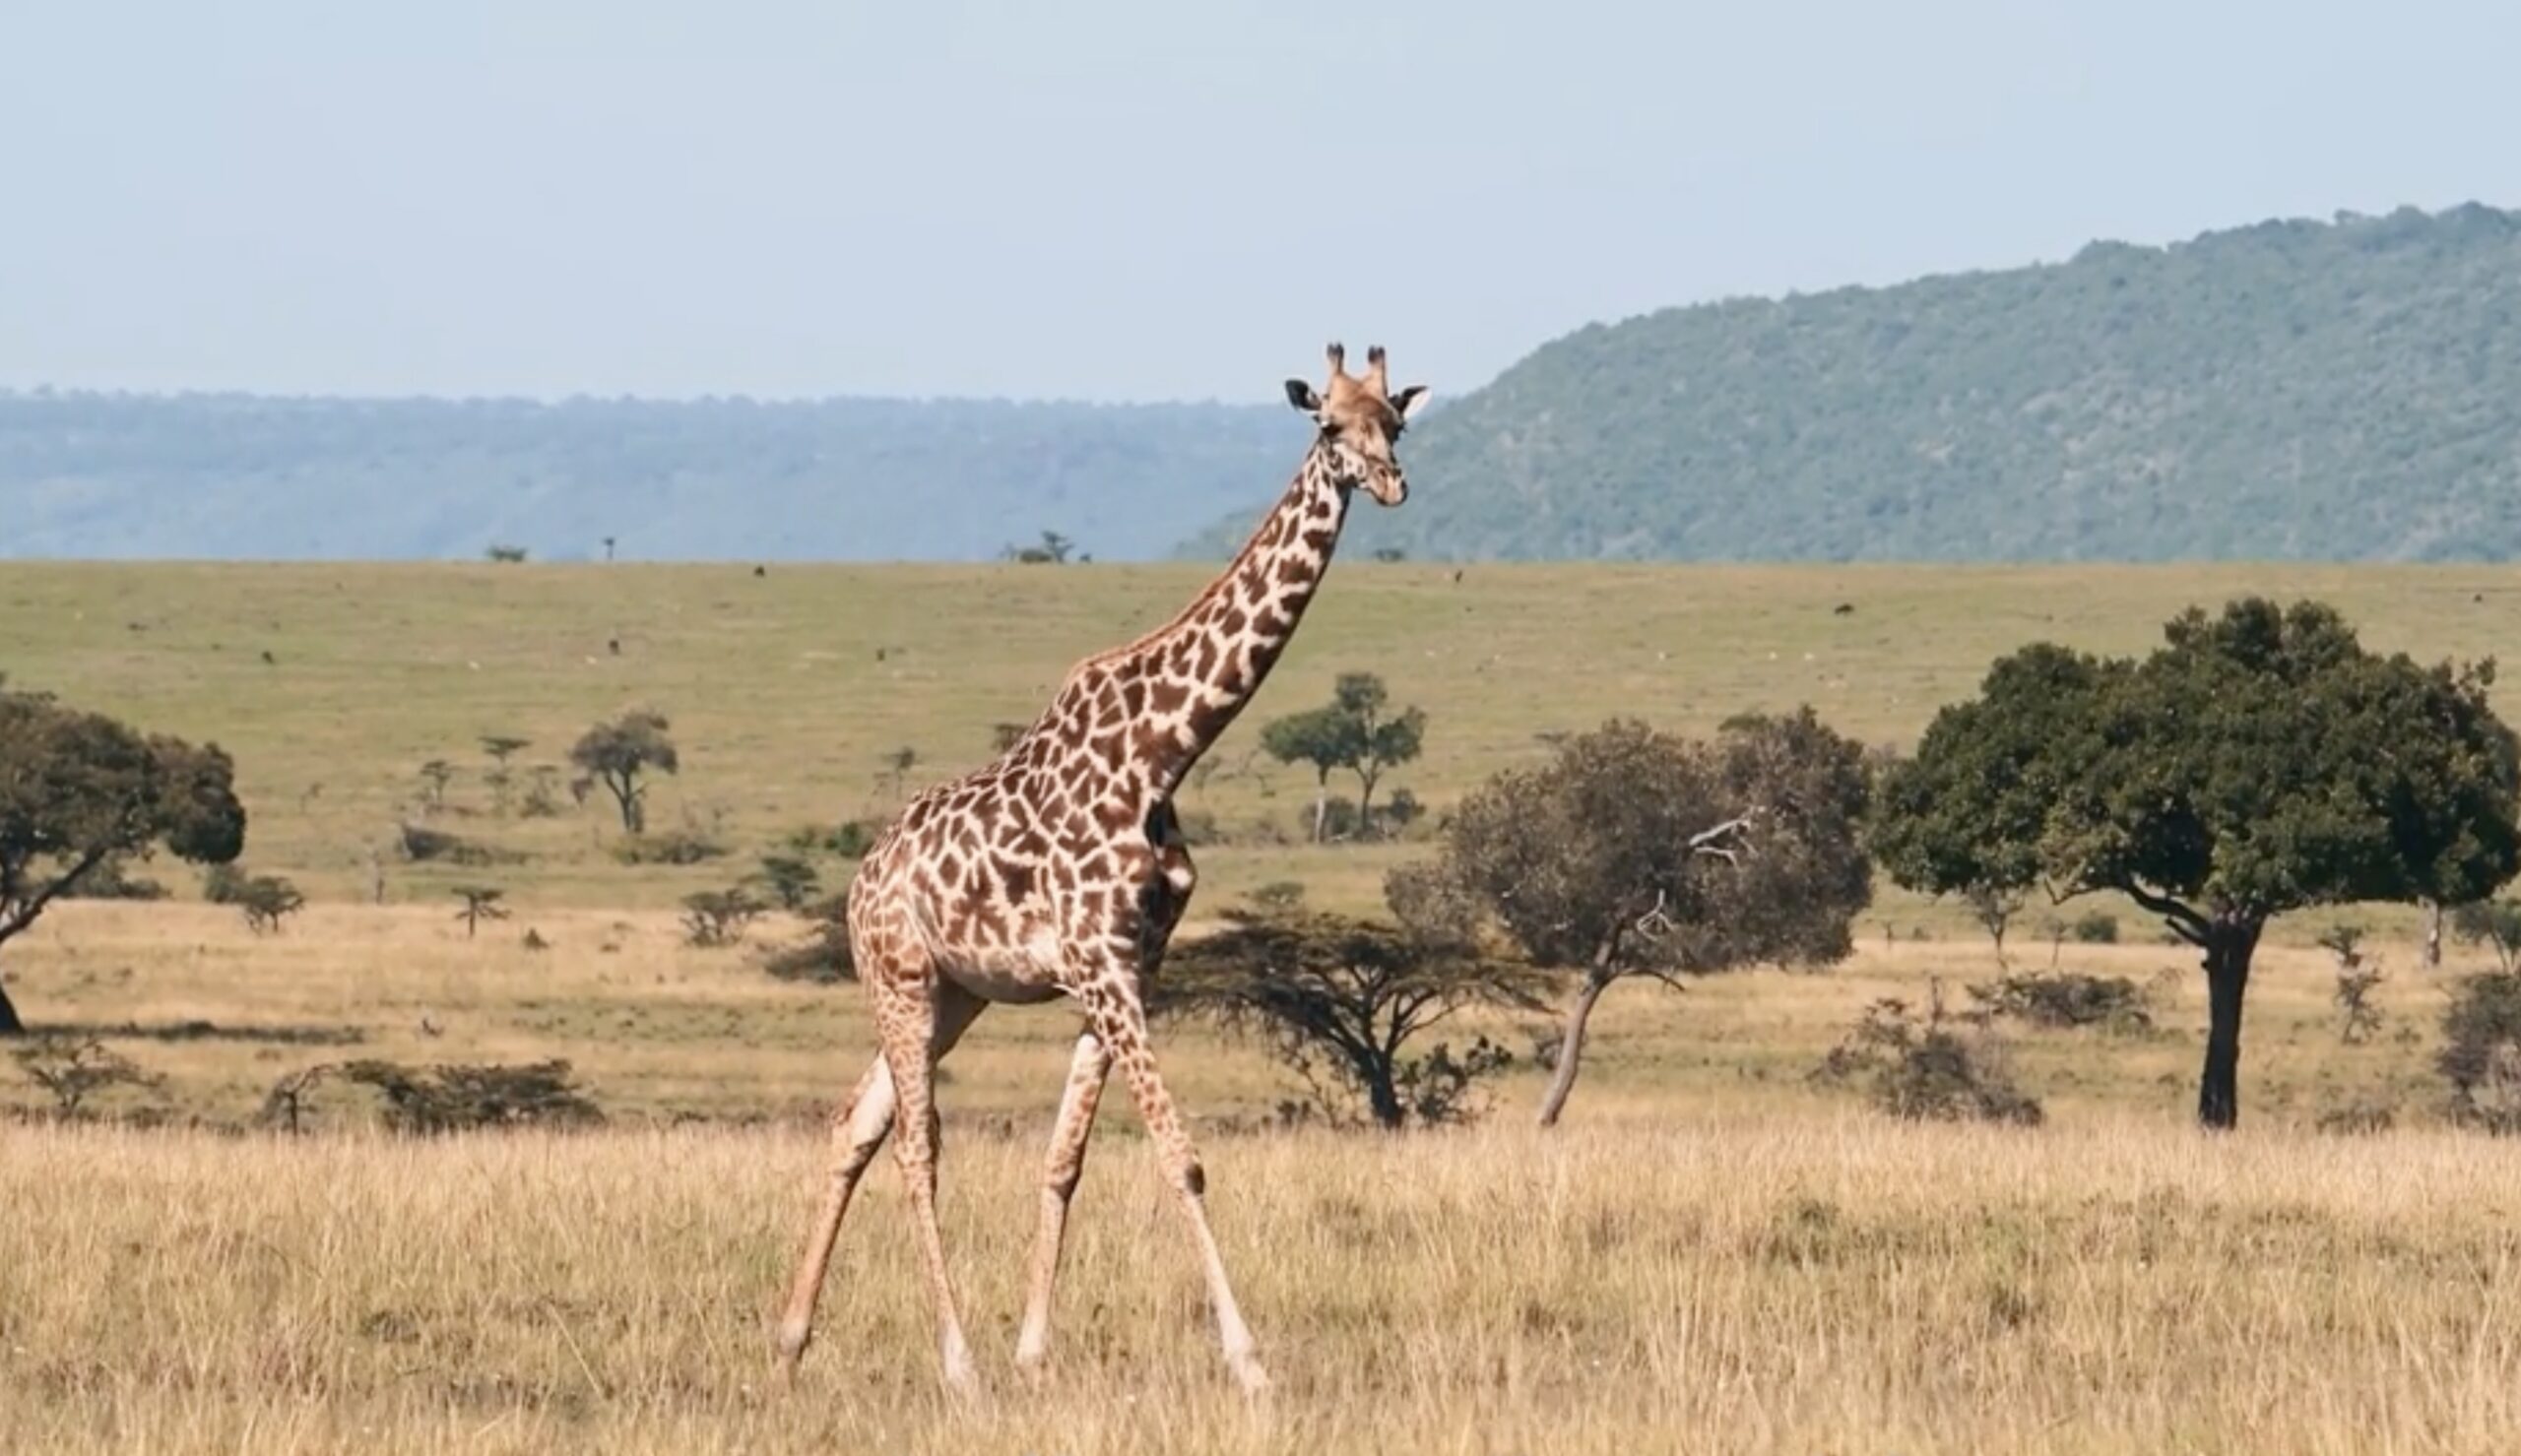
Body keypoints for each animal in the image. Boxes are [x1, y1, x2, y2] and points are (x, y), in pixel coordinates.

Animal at [772, 342, 1430, 1395]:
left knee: (855, 1123)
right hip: (899, 976)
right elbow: (1181, 1155)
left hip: (956, 994)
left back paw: (792, 1336)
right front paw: (1250, 1361)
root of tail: (861, 879)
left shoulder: (1128, 967)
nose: (1391, 482)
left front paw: (1036, 1349)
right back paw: (957, 1361)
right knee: (916, 1143)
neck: (1168, 748)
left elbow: (1064, 1159)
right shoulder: (1102, 964)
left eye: (1396, 422)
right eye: (1329, 424)